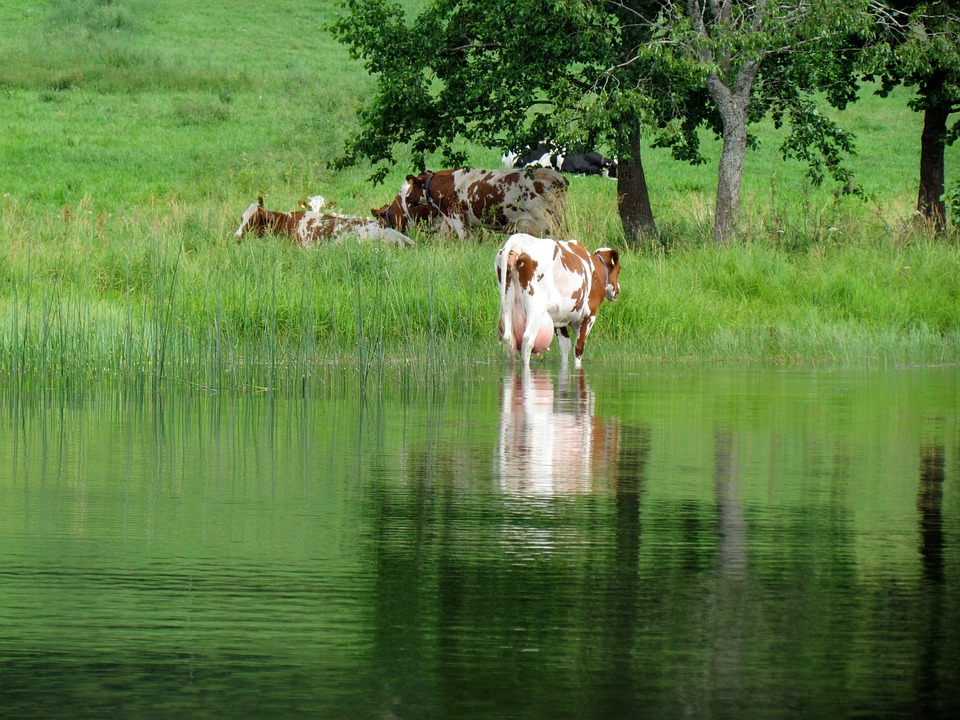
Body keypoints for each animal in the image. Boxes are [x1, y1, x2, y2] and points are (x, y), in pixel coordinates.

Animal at [372, 167, 568, 239]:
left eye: (414, 186)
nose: (407, 199)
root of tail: (557, 177)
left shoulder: (456, 216)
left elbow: (464, 239)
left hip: (547, 221)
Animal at [496, 233, 624, 372]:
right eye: (619, 269)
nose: (618, 289)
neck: (594, 270)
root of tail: (517, 240)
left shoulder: (560, 316)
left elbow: (565, 345)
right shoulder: (590, 313)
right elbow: (579, 347)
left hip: (508, 302)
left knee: (509, 339)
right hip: (536, 306)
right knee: (528, 339)